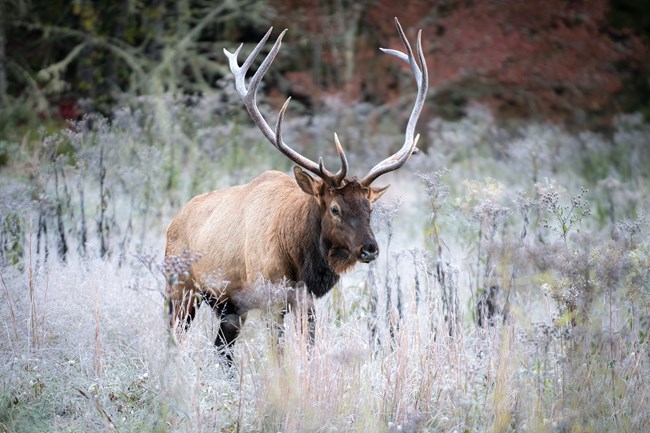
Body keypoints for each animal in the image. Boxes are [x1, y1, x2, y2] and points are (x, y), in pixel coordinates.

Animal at [164, 18, 428, 362]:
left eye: (370, 208)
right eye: (335, 208)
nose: (370, 248)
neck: (299, 259)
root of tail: (173, 222)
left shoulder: (304, 300)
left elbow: (309, 348)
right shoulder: (270, 296)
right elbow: (278, 354)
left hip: (228, 307)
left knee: (222, 351)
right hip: (180, 288)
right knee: (175, 339)